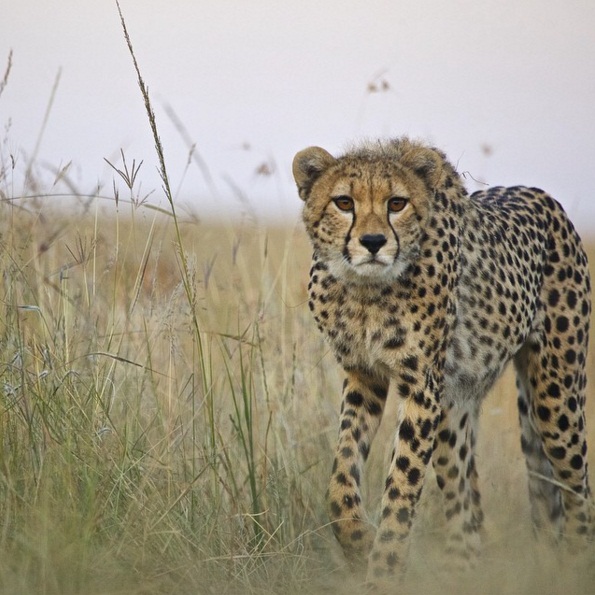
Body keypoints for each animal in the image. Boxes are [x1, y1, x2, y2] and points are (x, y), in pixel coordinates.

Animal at [292, 139, 592, 588]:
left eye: (397, 202)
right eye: (343, 202)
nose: (373, 241)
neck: (366, 290)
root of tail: (541, 195)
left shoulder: (421, 386)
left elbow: (401, 489)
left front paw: (382, 573)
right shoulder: (364, 376)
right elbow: (340, 479)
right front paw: (359, 543)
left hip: (555, 397)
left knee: (577, 490)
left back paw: (574, 567)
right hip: (456, 413)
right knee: (466, 507)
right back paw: (461, 572)